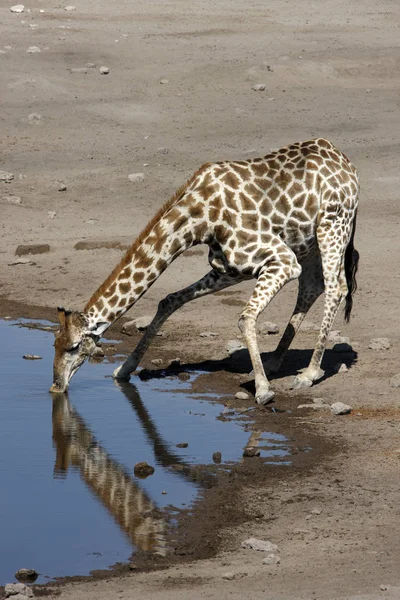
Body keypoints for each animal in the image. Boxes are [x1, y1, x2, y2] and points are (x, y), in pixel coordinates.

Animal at [50, 138, 360, 406]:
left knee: (336, 288)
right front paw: (124, 369)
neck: (200, 218)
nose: (56, 385)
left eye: (74, 347)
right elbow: (169, 300)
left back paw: (309, 374)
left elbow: (245, 317)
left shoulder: (281, 259)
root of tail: (347, 164)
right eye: (54, 344)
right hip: (307, 241)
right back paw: (274, 362)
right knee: (313, 286)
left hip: (333, 225)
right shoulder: (230, 268)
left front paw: (262, 391)